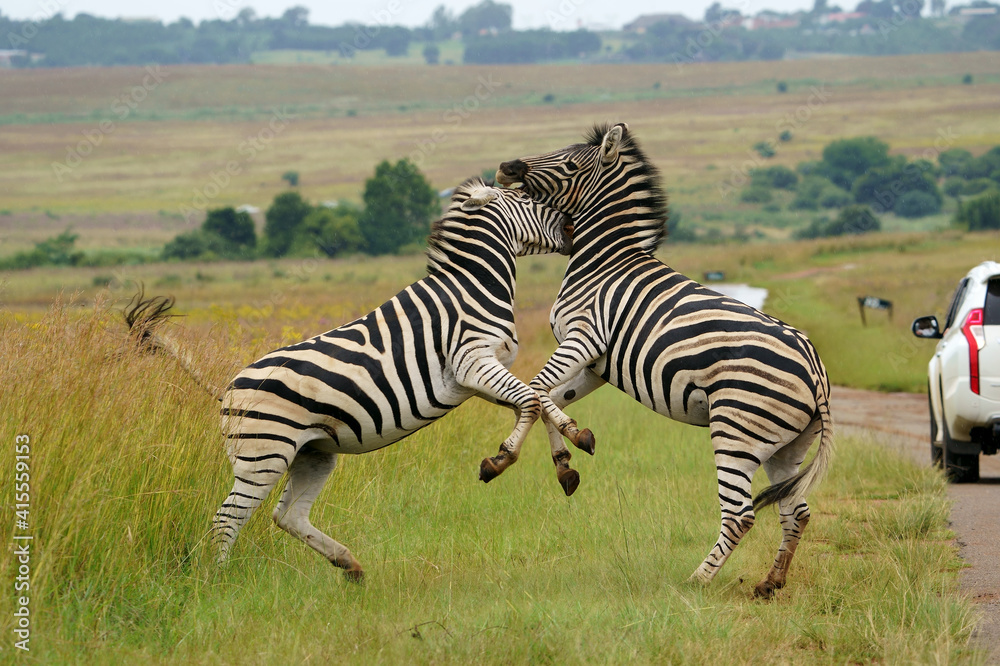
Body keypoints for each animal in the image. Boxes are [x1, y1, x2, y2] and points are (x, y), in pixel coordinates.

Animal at [126, 177, 572, 581]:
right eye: (528, 200)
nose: (572, 223)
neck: (473, 285)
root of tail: (227, 389)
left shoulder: (477, 376)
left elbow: (540, 397)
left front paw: (571, 450)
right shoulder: (470, 361)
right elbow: (532, 399)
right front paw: (499, 462)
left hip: (312, 453)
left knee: (288, 515)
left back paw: (348, 564)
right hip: (263, 454)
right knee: (229, 517)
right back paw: (218, 581)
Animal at [488, 123, 833, 598]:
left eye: (571, 164)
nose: (505, 167)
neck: (603, 262)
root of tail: (815, 369)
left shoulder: (585, 336)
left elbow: (536, 391)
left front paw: (506, 458)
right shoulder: (596, 365)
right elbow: (548, 400)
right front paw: (567, 461)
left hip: (737, 431)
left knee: (741, 513)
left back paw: (697, 580)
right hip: (787, 446)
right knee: (794, 510)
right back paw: (771, 582)